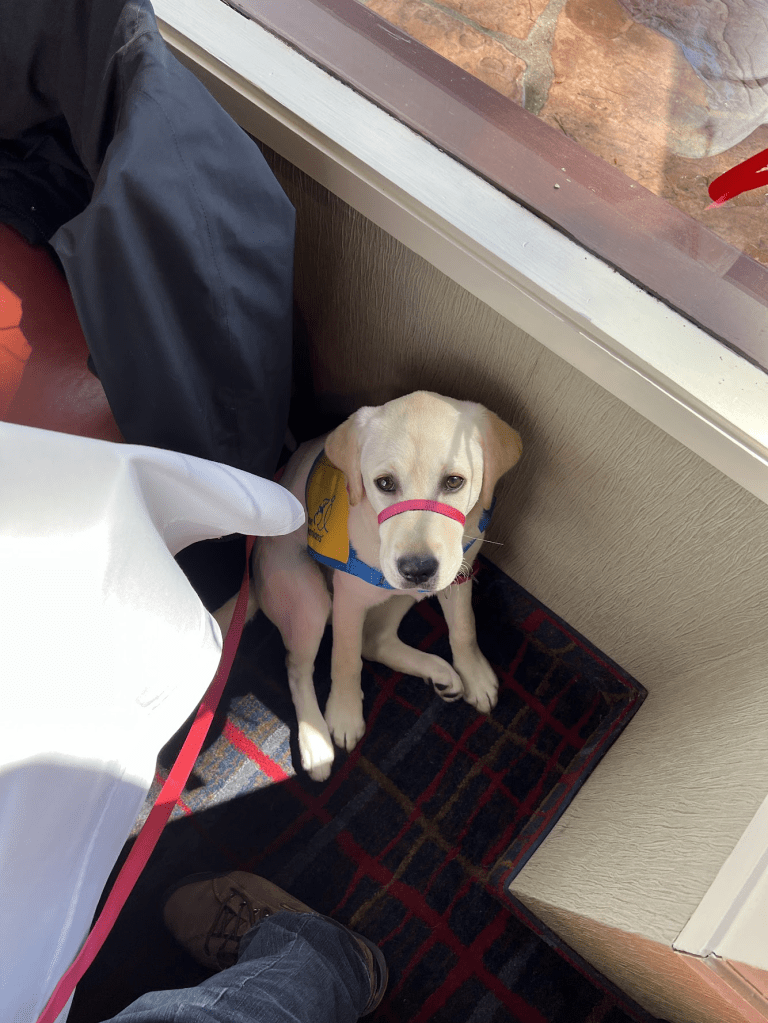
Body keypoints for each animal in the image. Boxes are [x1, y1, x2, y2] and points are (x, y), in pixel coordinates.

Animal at [214, 391, 522, 781]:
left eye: (454, 482)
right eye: (385, 483)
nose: (417, 570)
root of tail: (253, 579)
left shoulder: (460, 572)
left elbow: (464, 628)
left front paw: (475, 675)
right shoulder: (349, 597)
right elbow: (345, 659)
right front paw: (344, 714)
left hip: (402, 595)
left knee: (375, 642)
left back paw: (439, 671)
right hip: (311, 600)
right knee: (299, 668)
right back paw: (315, 743)